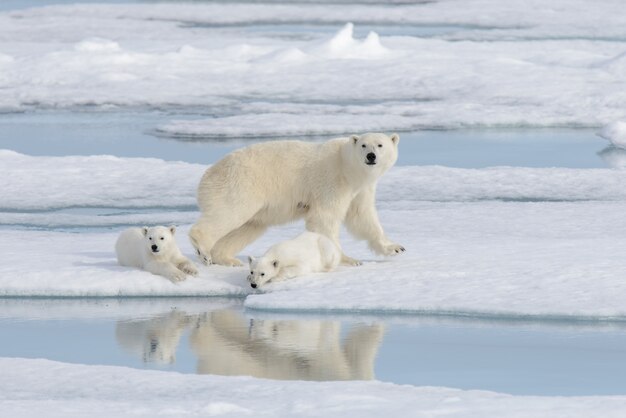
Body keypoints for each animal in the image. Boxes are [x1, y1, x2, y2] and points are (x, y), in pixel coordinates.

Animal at [190, 132, 404, 266]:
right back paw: (203, 250)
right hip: (241, 185)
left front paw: (395, 248)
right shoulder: (332, 182)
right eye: (363, 145)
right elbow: (324, 219)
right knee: (229, 213)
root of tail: (208, 175)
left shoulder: (360, 189)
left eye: (380, 145)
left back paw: (227, 258)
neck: (347, 167)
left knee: (247, 227)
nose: (371, 156)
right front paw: (348, 259)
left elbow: (362, 217)